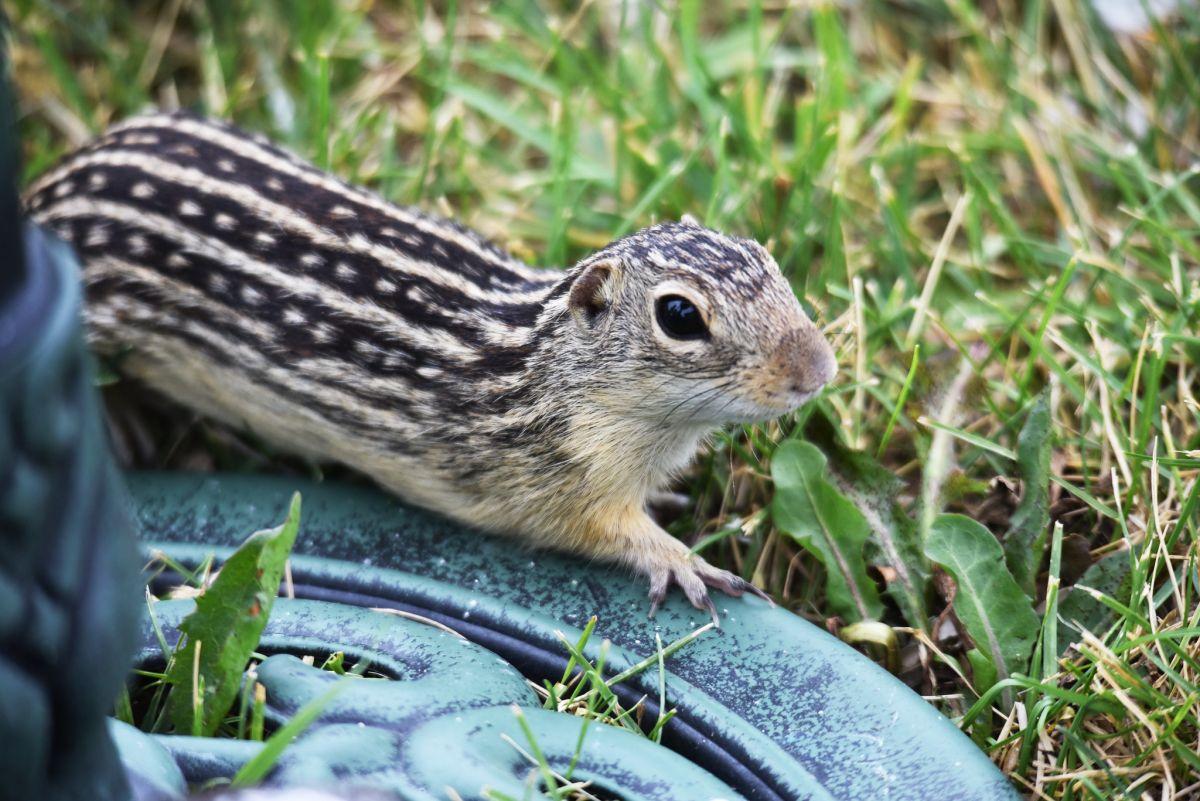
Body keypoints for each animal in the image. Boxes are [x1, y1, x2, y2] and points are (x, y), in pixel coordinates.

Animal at [23, 109, 840, 618]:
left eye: (770, 260)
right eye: (679, 316)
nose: (819, 368)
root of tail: (52, 185)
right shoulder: (557, 480)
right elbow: (602, 531)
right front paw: (681, 558)